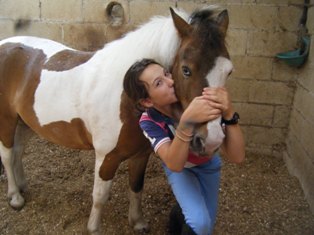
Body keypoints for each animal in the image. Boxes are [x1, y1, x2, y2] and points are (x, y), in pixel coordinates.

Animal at [0, 5, 231, 235]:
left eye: (228, 71)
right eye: (186, 69)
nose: (212, 139)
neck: (126, 96)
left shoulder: (141, 154)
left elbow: (136, 186)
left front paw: (137, 222)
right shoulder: (107, 157)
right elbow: (100, 196)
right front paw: (94, 229)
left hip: (26, 122)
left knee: (18, 151)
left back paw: (22, 186)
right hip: (7, 120)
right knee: (8, 155)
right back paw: (15, 197)